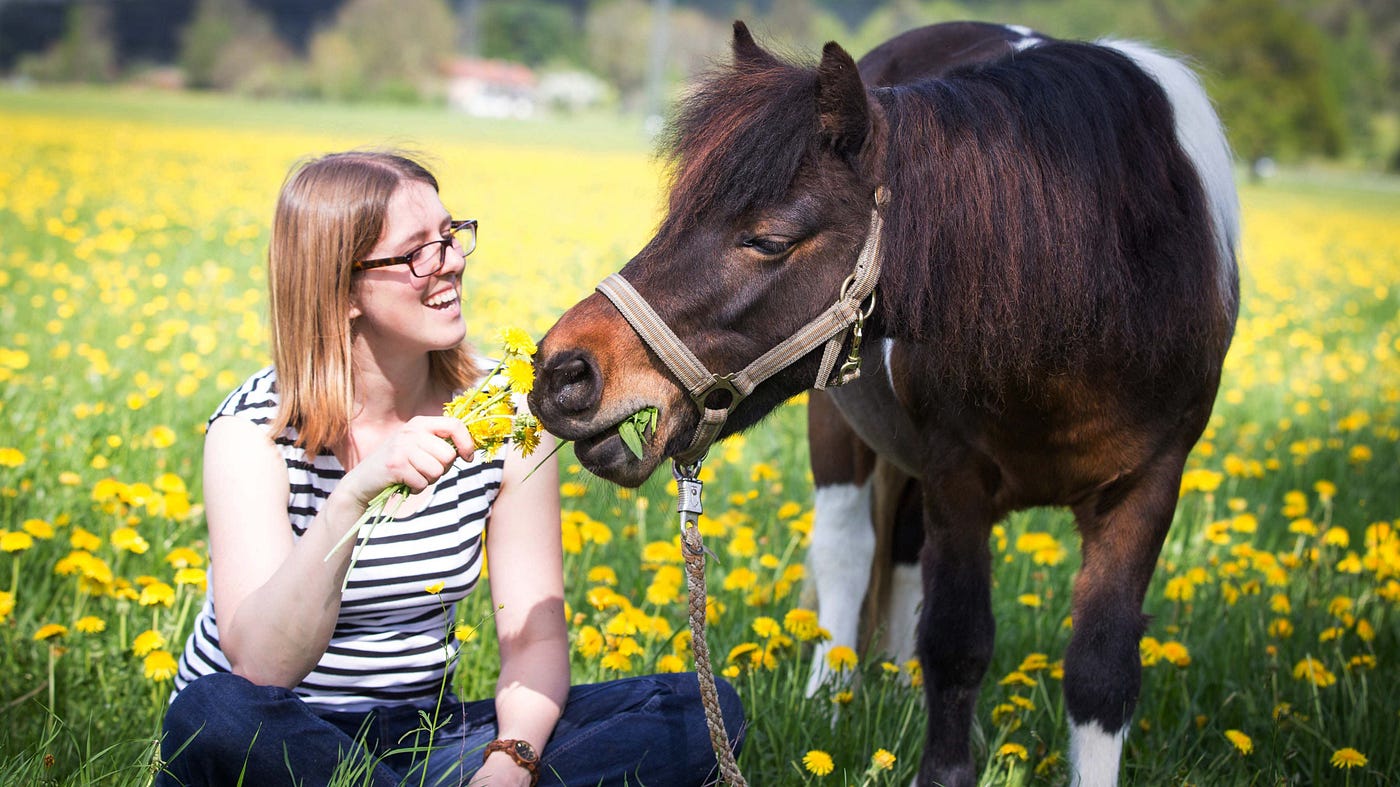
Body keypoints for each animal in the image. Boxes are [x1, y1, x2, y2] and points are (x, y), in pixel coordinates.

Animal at [527, 20, 1239, 787]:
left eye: (769, 240)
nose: (565, 370)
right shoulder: (958, 476)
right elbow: (957, 644)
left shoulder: (1148, 486)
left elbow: (1101, 671)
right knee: (848, 551)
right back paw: (833, 695)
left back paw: (895, 686)